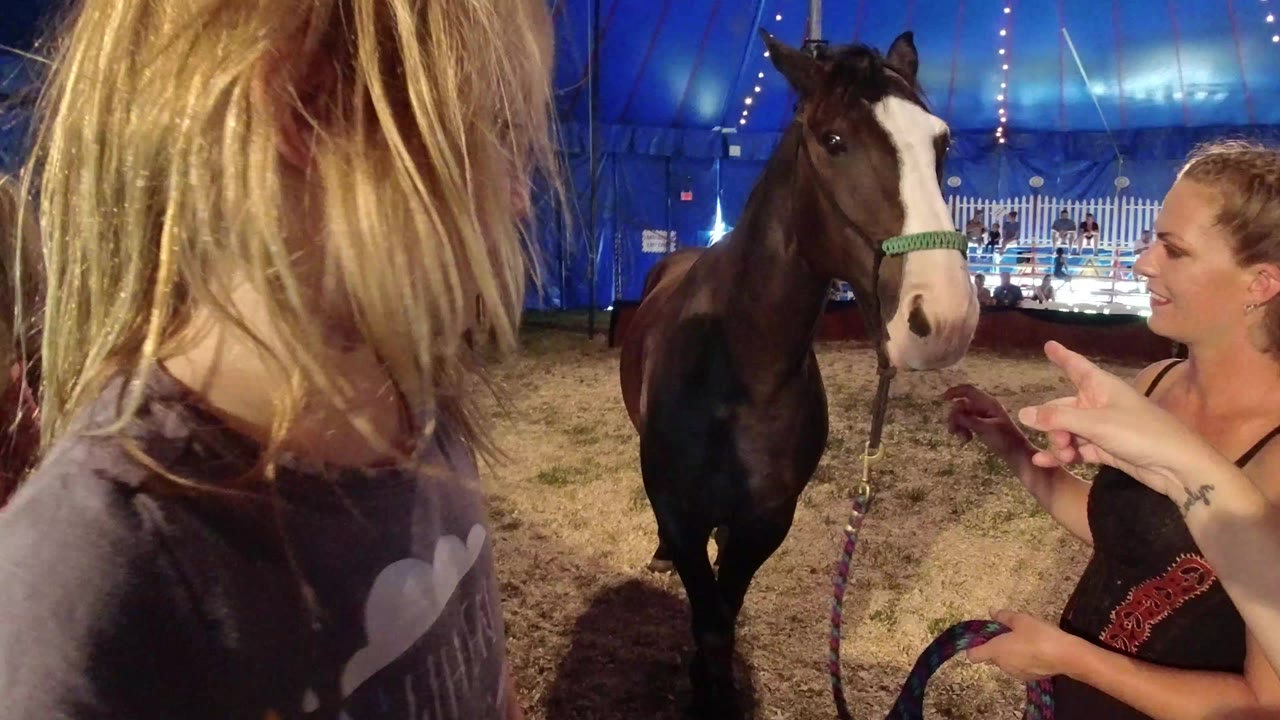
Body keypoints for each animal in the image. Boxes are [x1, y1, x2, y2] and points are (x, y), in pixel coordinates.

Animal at [617, 29, 980, 718]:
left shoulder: (766, 520)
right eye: (834, 141)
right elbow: (709, 619)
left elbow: (725, 613)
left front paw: (711, 684)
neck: (740, 376)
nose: (945, 318)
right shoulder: (679, 511)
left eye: (941, 143)